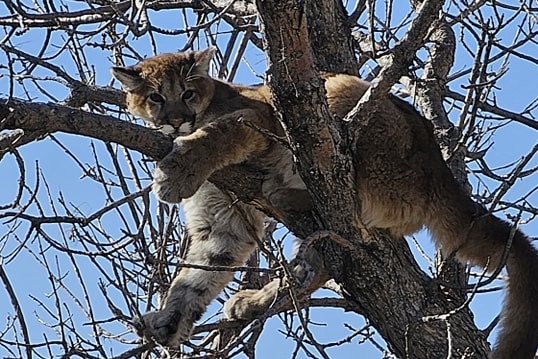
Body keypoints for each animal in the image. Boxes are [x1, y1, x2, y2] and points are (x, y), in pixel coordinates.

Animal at [110, 48, 536, 359]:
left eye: (187, 92)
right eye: (156, 97)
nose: (176, 120)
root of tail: (438, 168)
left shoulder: (255, 117)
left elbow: (217, 134)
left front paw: (176, 172)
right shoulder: (221, 221)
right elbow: (197, 277)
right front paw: (170, 320)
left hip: (341, 94)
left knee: (342, 189)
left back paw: (286, 191)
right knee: (316, 267)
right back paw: (254, 299)